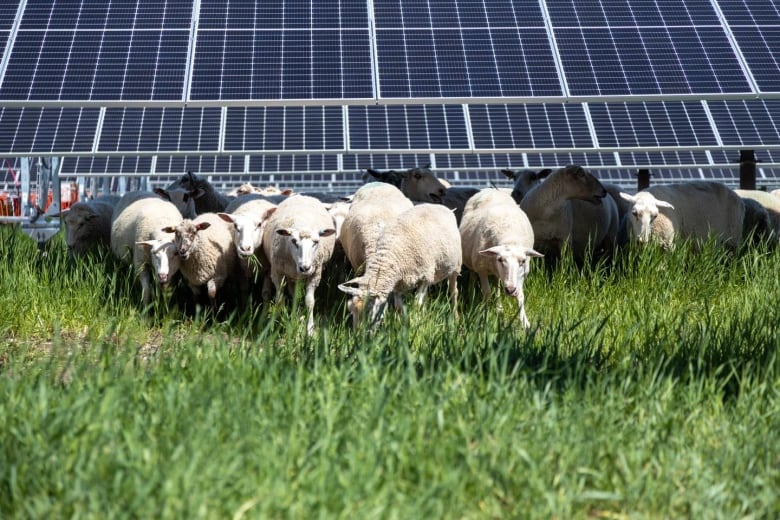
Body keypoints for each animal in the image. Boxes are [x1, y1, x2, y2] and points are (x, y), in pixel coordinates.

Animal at [262, 193, 336, 336]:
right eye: (293, 241)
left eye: (316, 242)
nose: (305, 268)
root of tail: (303, 195)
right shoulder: (277, 273)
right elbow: (280, 301)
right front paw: (278, 327)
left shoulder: (315, 274)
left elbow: (310, 302)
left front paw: (310, 330)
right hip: (289, 274)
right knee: (292, 294)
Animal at [458, 189, 544, 330]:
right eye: (500, 259)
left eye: (523, 261)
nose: (510, 290)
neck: (510, 238)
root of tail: (490, 189)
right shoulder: (482, 269)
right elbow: (486, 292)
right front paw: (484, 316)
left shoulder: (522, 274)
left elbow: (521, 295)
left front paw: (525, 322)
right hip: (473, 263)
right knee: (472, 276)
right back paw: (471, 296)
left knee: (498, 286)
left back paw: (499, 308)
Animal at [620, 181, 748, 250]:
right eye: (634, 213)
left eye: (655, 216)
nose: (642, 239)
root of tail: (738, 197)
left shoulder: (668, 245)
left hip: (733, 241)